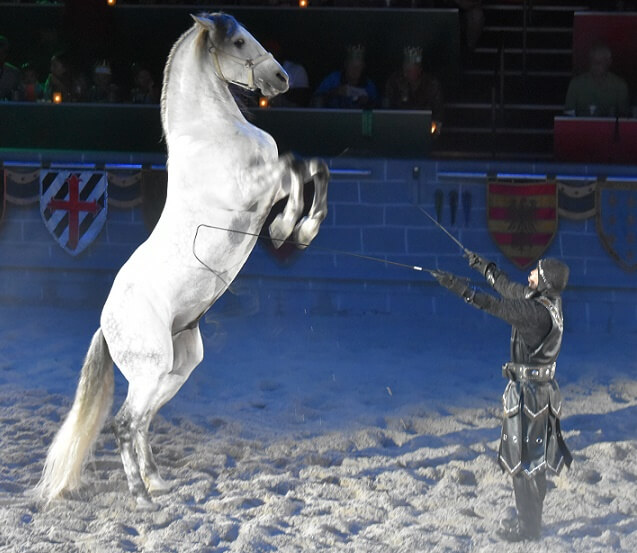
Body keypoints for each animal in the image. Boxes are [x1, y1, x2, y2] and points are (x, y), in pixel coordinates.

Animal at [36, 11, 328, 508]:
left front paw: (302, 230)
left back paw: (157, 482)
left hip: (175, 368)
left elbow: (313, 168)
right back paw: (142, 498)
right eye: (238, 40)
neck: (213, 133)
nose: (281, 78)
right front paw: (288, 229)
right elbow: (295, 168)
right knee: (124, 424)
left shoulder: (268, 184)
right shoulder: (257, 189)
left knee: (142, 423)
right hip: (151, 368)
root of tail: (106, 325)